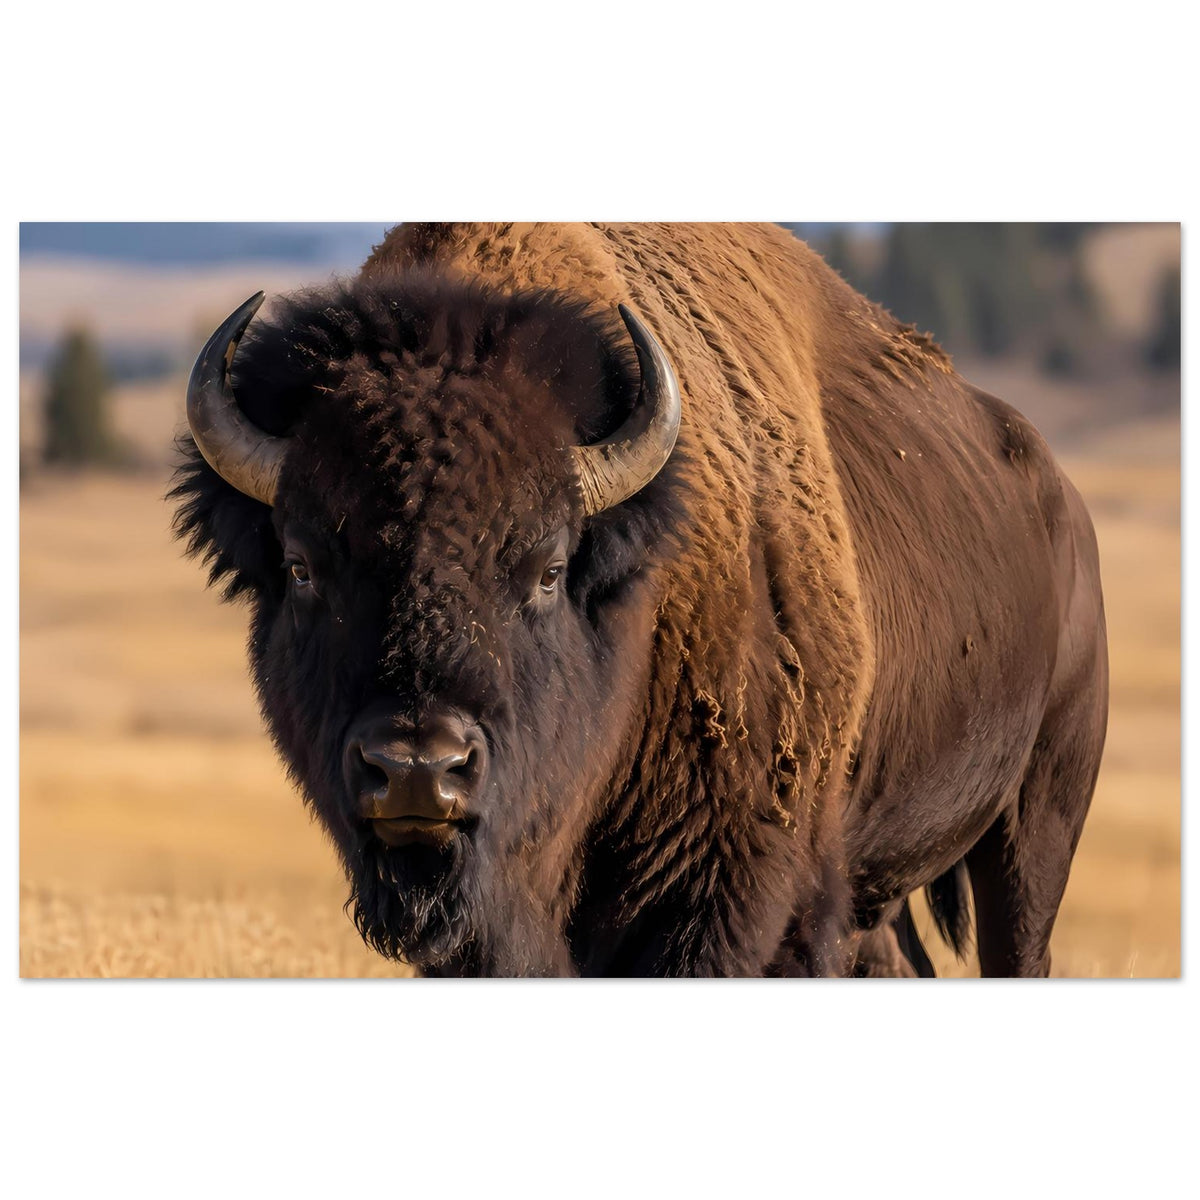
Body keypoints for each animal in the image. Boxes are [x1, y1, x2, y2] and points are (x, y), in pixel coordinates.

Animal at [172, 222, 1108, 977]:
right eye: (301, 566)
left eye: (547, 568)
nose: (417, 769)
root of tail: (1063, 503)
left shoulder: (725, 894)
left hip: (1036, 823)